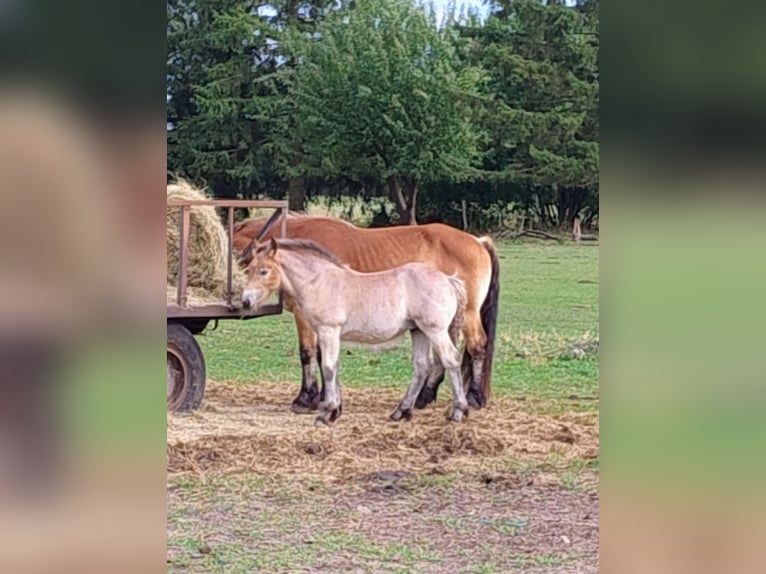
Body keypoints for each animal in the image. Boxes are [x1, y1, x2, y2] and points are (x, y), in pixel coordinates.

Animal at [233, 215, 500, 414]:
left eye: (261, 270)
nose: (244, 301)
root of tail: (478, 241)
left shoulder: (307, 319)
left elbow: (309, 354)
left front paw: (306, 398)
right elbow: (321, 356)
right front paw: (323, 397)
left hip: (467, 315)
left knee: (477, 346)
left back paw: (473, 398)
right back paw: (425, 397)